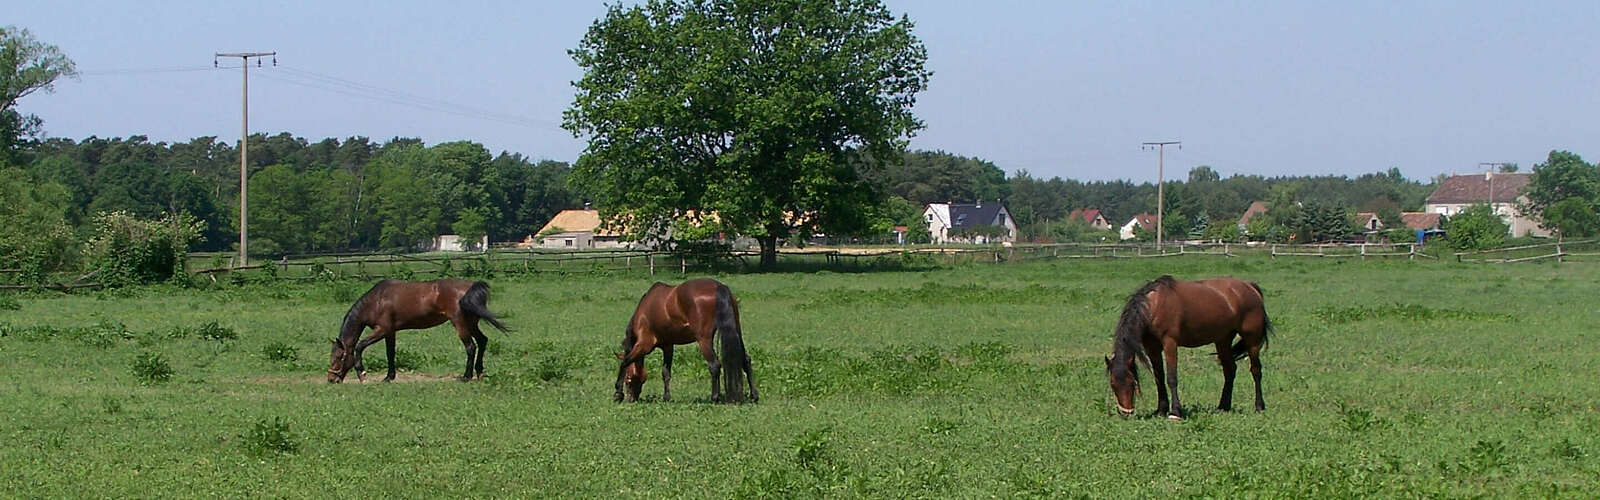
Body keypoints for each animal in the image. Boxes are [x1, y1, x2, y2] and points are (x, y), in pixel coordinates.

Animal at [321, 277, 502, 383]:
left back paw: (466, 376)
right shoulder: (390, 332)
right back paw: (479, 372)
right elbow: (390, 353)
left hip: (460, 324)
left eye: (338, 357)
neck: (376, 301)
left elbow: (359, 346)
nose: (331, 379)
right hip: (472, 324)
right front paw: (389, 377)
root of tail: (470, 287)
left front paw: (361, 373)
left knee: (471, 347)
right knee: (482, 341)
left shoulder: (382, 330)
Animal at [614, 278, 758, 403]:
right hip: (737, 331)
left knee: (714, 365)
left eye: (628, 379)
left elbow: (625, 362)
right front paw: (666, 397)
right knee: (745, 360)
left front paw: (618, 393)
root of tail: (719, 287)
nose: (632, 398)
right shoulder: (668, 346)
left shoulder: (644, 345)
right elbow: (666, 372)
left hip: (704, 340)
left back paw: (714, 398)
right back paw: (754, 396)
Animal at [1100, 275, 1273, 419]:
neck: (1154, 306)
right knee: (1230, 370)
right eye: (1113, 384)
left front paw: (1175, 412)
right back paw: (1223, 406)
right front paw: (1161, 410)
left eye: (1132, 383)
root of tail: (1250, 286)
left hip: (1252, 340)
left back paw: (1259, 406)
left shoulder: (1170, 343)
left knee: (1256, 371)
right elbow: (1159, 378)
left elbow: (1171, 377)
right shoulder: (1152, 347)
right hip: (1222, 340)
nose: (1126, 413)